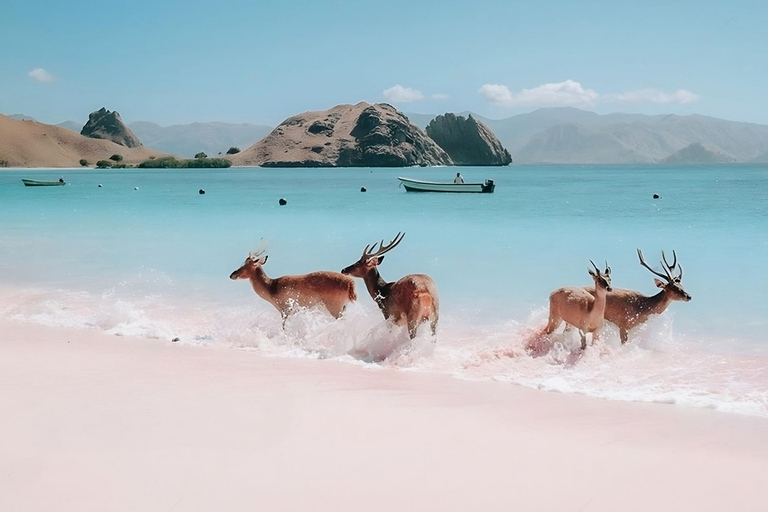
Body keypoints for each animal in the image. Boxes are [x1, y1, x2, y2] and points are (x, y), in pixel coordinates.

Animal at [230, 250, 358, 326]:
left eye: (245, 265)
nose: (232, 274)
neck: (272, 286)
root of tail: (350, 283)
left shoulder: (285, 311)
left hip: (335, 310)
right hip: (343, 308)